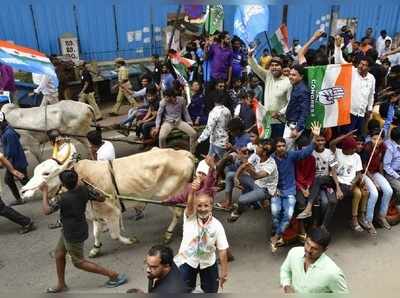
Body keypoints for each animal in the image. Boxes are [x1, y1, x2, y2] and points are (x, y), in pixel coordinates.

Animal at [21, 148, 195, 258]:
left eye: (46, 173)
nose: (22, 190)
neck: (81, 179)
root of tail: (182, 154)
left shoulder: (112, 213)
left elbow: (114, 234)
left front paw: (130, 240)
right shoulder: (96, 214)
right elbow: (96, 233)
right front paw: (95, 249)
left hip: (170, 196)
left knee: (178, 213)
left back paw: (168, 234)